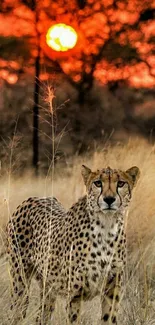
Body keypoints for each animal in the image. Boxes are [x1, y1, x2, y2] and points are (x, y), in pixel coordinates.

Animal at [6, 166, 139, 322]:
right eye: (98, 183)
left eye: (121, 183)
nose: (109, 199)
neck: (106, 225)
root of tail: (32, 199)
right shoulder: (75, 295)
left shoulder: (112, 292)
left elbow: (108, 318)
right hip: (20, 283)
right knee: (16, 312)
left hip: (48, 288)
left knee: (41, 316)